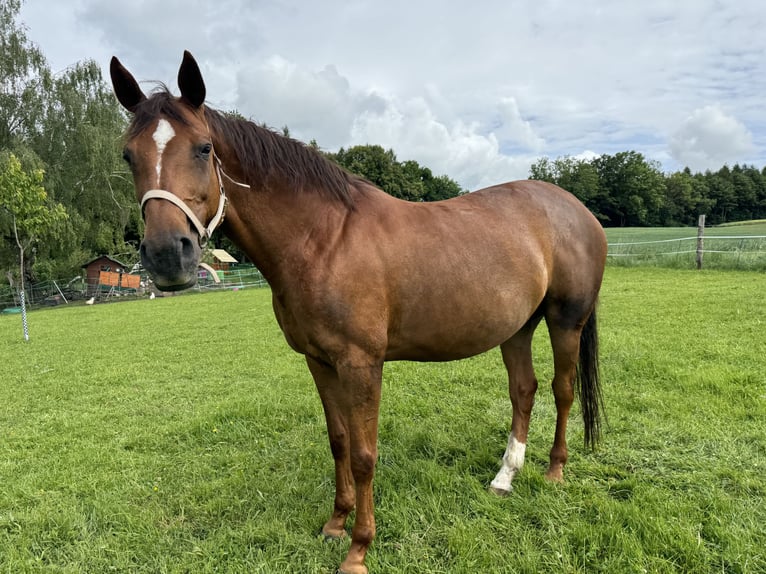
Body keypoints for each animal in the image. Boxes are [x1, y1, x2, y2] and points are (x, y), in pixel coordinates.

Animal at [110, 51, 607, 574]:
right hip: (517, 327)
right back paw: (504, 478)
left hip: (565, 321)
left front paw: (359, 548)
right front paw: (335, 524)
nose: (167, 255)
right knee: (523, 391)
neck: (323, 238)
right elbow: (340, 442)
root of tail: (577, 209)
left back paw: (554, 470)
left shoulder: (361, 364)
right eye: (128, 156)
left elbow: (366, 454)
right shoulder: (319, 362)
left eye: (204, 148)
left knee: (563, 390)